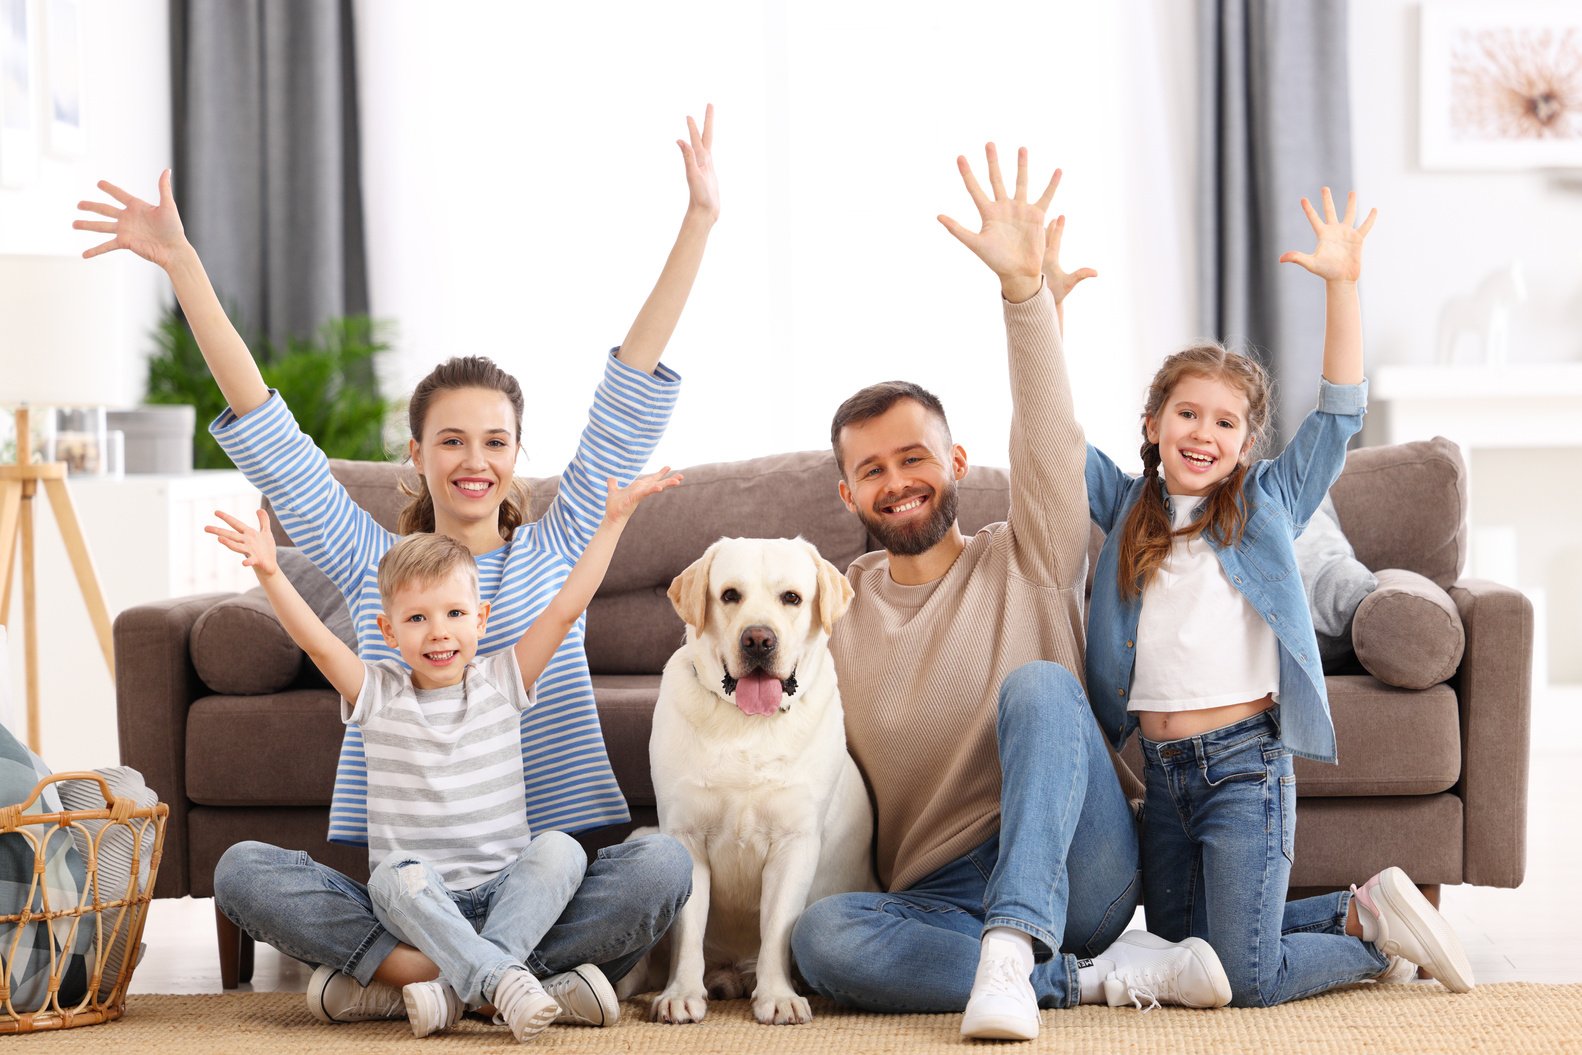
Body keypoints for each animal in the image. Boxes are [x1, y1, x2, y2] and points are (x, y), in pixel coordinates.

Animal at [648, 537, 885, 1024]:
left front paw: (777, 996)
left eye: (791, 598)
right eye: (729, 595)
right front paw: (681, 993)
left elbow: (777, 926)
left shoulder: (794, 842)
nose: (758, 639)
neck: (747, 723)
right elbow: (687, 929)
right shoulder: (684, 835)